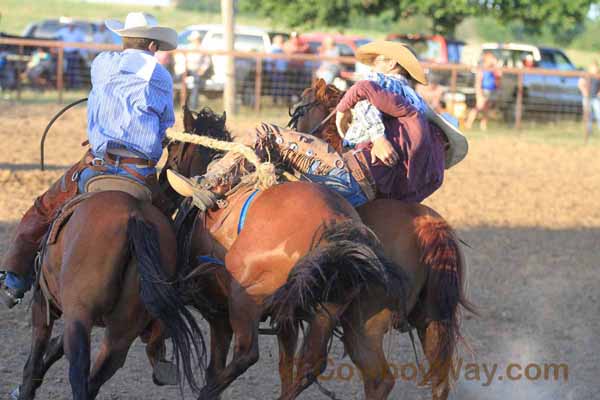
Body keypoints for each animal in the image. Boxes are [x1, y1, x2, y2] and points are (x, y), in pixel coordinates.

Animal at [14, 186, 206, 398]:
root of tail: (135, 216)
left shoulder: (44, 304)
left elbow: (35, 359)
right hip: (120, 335)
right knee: (97, 377)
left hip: (80, 316)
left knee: (79, 372)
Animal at [162, 107, 410, 400]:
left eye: (172, 149)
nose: (162, 189)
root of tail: (335, 226)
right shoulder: (286, 319)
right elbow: (285, 365)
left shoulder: (218, 314)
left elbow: (216, 366)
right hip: (328, 309)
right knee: (317, 367)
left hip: (245, 298)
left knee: (247, 354)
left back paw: (207, 390)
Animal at [284, 79, 476, 400]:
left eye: (300, 106)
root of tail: (429, 228)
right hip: (433, 320)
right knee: (439, 381)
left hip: (364, 326)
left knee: (376, 379)